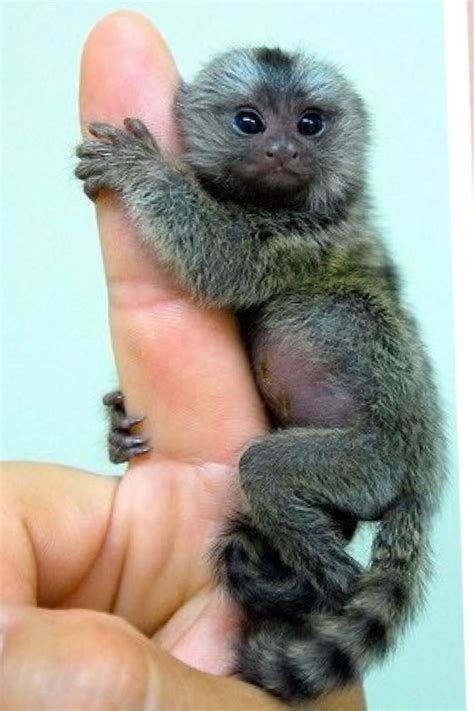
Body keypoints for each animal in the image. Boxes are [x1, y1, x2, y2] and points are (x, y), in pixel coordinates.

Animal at [75, 47, 446, 701]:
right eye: (249, 123)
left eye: (309, 125)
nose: (282, 150)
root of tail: (423, 478)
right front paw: (117, 425)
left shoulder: (308, 235)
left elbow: (222, 259)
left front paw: (142, 169)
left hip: (372, 464)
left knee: (269, 467)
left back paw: (323, 575)